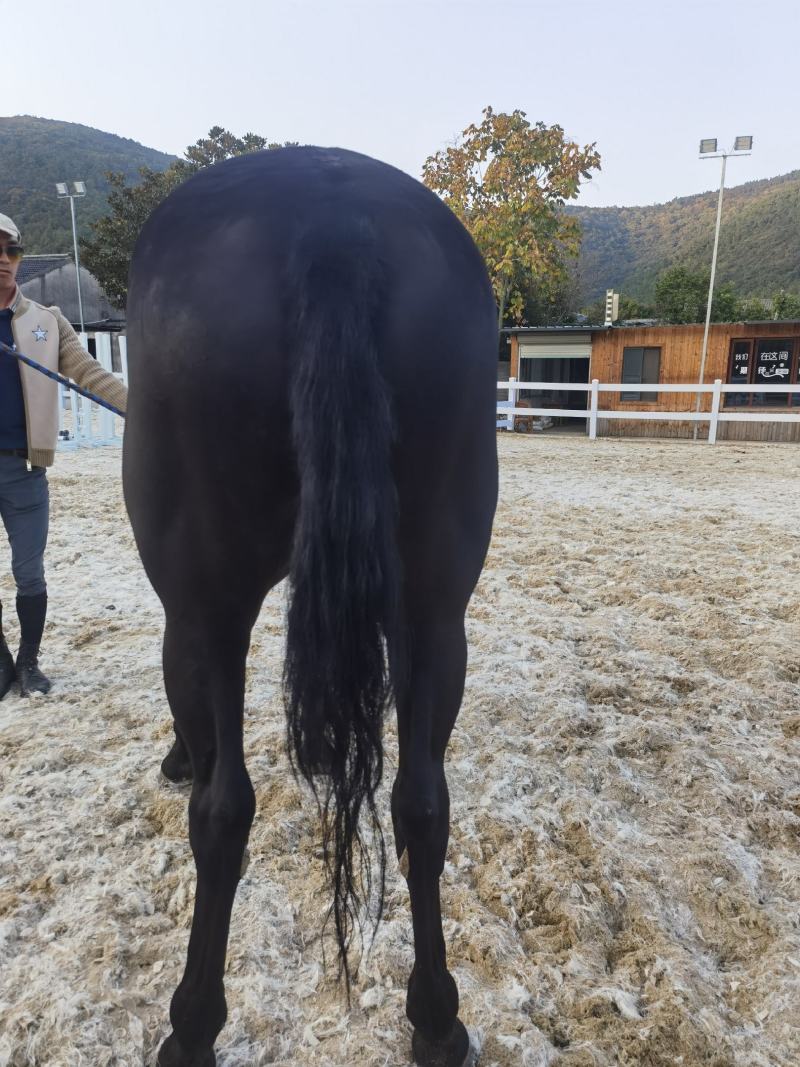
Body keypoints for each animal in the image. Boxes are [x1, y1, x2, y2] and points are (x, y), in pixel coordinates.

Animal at [122, 145, 498, 1067]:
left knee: (223, 813)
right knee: (422, 803)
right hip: (434, 610)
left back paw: (192, 1026)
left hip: (208, 610)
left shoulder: (189, 618)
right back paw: (437, 1020)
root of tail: (332, 218)